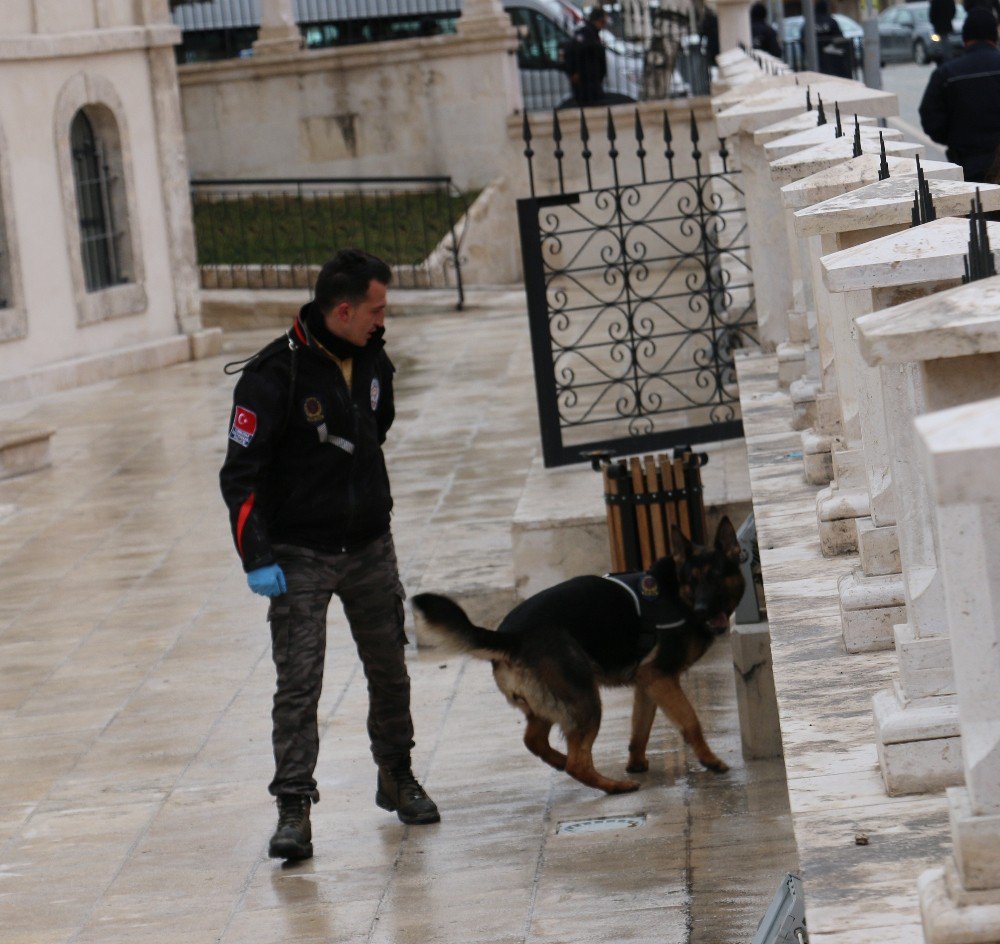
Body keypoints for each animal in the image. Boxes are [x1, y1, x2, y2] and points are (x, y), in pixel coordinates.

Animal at [410, 516, 748, 796]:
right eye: (693, 581)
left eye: (716, 576)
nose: (703, 609)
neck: (675, 594)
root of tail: (512, 637)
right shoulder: (660, 677)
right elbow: (691, 722)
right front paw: (710, 760)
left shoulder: (648, 682)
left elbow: (640, 727)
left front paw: (636, 762)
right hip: (585, 699)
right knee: (578, 763)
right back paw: (613, 786)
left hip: (548, 705)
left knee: (534, 741)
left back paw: (562, 761)